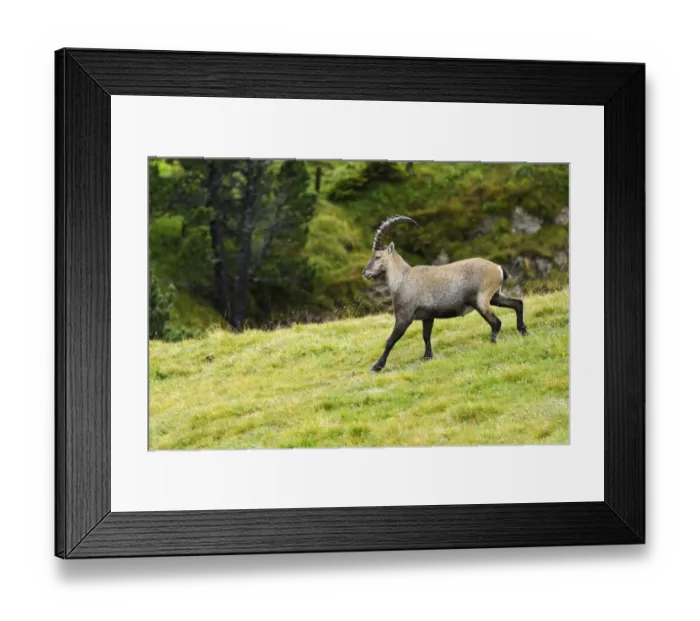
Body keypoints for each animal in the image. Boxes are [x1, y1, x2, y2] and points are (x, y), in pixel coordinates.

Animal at [362, 215, 528, 372]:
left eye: (377, 256)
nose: (365, 273)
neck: (403, 278)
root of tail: (498, 268)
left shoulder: (404, 316)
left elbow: (390, 341)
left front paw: (377, 366)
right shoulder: (428, 317)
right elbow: (426, 336)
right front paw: (427, 357)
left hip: (482, 300)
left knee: (496, 322)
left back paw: (492, 343)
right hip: (495, 296)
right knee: (517, 303)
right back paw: (523, 331)